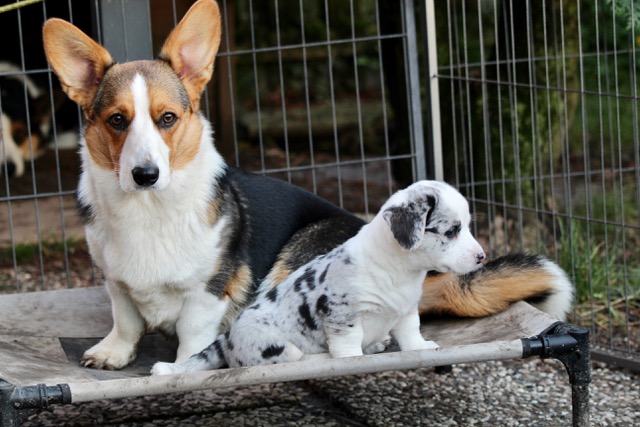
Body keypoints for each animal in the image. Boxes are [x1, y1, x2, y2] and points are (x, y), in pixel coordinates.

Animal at [151, 180, 487, 373]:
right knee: (298, 359)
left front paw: (420, 348)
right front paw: (352, 360)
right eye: (451, 232)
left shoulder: (405, 310)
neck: (401, 270)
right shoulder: (341, 314)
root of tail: (226, 340)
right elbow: (348, 347)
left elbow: (411, 334)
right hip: (275, 344)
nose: (482, 257)